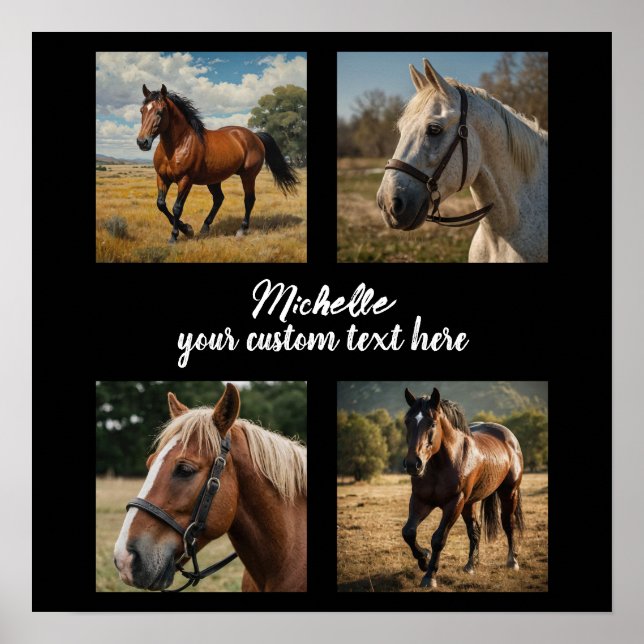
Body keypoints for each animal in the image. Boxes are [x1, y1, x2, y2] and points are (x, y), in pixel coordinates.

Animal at [136, 85, 299, 243]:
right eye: (142, 111)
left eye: (160, 111)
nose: (142, 142)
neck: (177, 146)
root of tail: (255, 136)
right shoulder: (162, 178)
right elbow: (161, 204)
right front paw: (187, 229)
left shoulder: (185, 180)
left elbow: (177, 207)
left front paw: (175, 235)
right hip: (214, 180)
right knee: (219, 199)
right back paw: (205, 227)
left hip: (248, 176)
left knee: (249, 200)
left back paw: (241, 230)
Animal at [401, 387, 524, 588]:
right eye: (407, 422)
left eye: (432, 423)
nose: (413, 464)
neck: (441, 464)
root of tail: (509, 437)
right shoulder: (421, 500)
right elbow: (408, 532)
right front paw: (424, 558)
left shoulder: (454, 503)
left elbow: (438, 539)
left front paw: (429, 576)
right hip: (470, 503)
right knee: (475, 530)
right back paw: (471, 566)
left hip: (508, 493)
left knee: (508, 523)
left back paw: (512, 562)